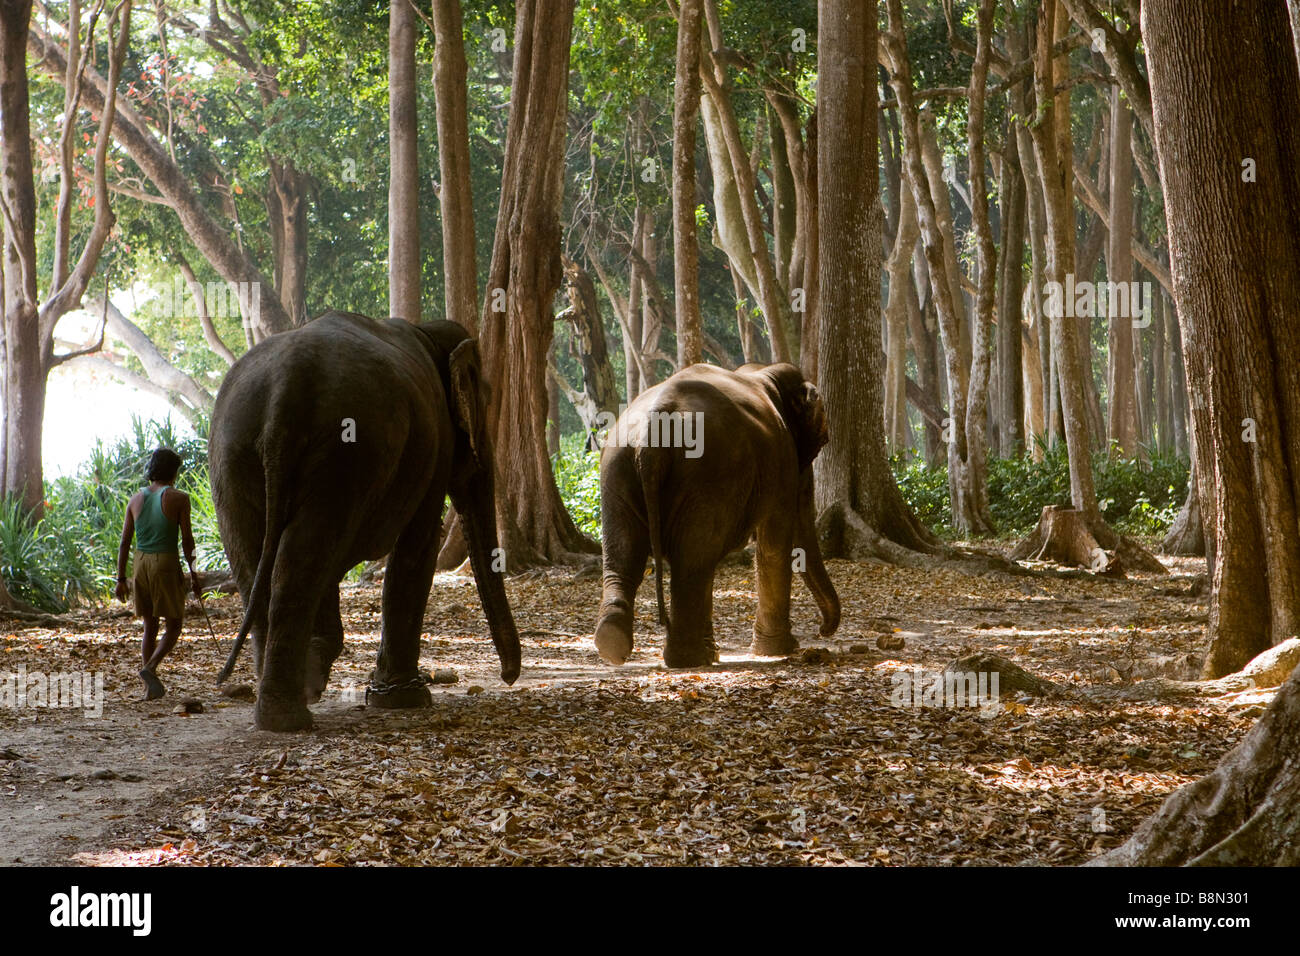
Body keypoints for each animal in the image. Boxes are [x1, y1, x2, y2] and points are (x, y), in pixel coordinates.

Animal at [210, 310, 520, 728]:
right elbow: (419, 543)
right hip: (345, 451)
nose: (508, 676)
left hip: (232, 454)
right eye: (484, 402)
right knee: (302, 556)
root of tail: (284, 390)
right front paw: (405, 699)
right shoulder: (435, 444)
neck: (428, 332)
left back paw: (282, 701)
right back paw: (290, 714)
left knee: (258, 558)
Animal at [592, 361, 837, 671]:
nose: (823, 630)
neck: (762, 373)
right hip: (706, 476)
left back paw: (613, 644)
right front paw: (780, 649)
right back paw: (694, 659)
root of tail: (652, 430)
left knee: (626, 559)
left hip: (616, 470)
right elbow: (774, 546)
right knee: (694, 562)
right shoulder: (783, 462)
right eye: (822, 441)